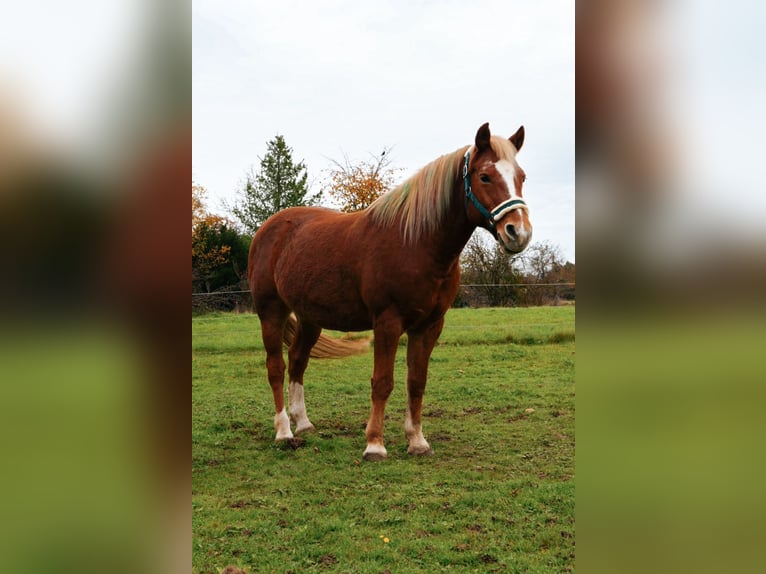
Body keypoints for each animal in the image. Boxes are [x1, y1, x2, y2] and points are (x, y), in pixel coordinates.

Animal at [248, 123, 532, 460]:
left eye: (521, 176)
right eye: (485, 176)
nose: (519, 232)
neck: (416, 242)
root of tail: (269, 229)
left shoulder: (430, 325)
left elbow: (416, 382)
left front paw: (417, 441)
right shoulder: (387, 322)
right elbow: (382, 382)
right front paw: (374, 444)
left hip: (310, 318)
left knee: (297, 361)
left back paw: (302, 423)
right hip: (271, 312)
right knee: (276, 367)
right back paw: (284, 432)